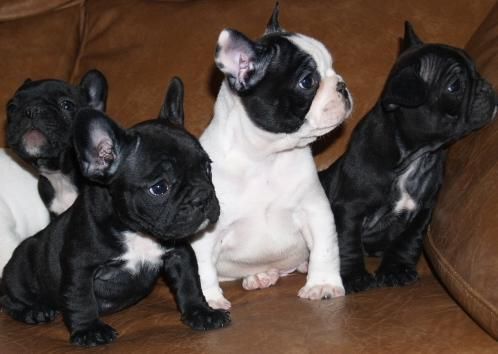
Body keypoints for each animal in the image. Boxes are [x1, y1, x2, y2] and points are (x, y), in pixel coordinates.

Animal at [193, 3, 352, 310]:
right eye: (307, 81)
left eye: (332, 68)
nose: (342, 85)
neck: (264, 157)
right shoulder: (206, 232)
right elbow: (202, 269)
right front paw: (208, 301)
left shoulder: (315, 210)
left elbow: (325, 248)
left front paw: (323, 284)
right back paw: (260, 276)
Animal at [320, 22, 498, 294]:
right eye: (454, 87)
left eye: (476, 70)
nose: (488, 87)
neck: (414, 156)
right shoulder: (350, 208)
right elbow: (346, 241)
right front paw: (353, 276)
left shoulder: (423, 211)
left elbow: (408, 241)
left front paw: (396, 269)